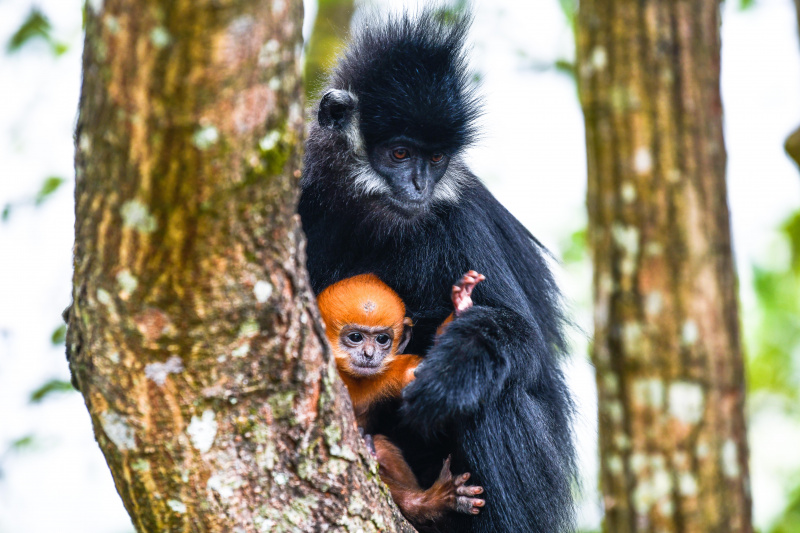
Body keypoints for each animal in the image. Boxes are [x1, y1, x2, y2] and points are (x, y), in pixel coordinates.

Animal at [316, 271, 486, 527]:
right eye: (356, 337)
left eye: (382, 339)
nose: (369, 354)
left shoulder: (389, 373)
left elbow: (419, 373)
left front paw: (460, 306)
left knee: (382, 447)